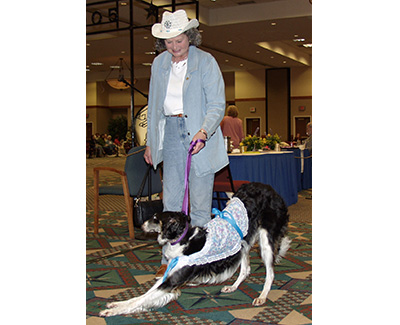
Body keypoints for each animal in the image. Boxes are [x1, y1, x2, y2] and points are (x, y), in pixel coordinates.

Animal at [100, 181, 290, 316]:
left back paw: (262, 296)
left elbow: (141, 300)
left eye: (155, 218)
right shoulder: (169, 276)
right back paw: (232, 287)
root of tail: (270, 189)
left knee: (270, 273)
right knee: (245, 269)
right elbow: (141, 296)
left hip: (266, 240)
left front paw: (112, 311)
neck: (183, 241)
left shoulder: (172, 281)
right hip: (243, 242)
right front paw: (117, 304)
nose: (141, 225)